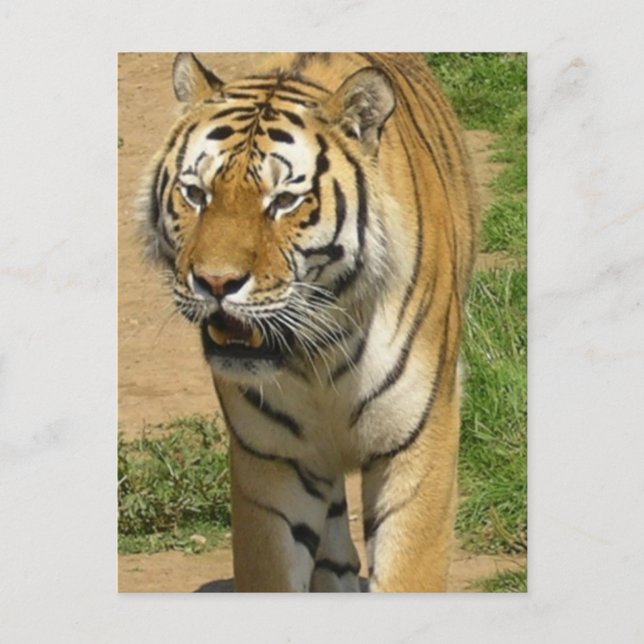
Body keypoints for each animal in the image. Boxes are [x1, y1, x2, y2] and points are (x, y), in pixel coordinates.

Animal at [140, 52, 479, 592]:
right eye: (195, 194)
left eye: (283, 201)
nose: (215, 282)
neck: (320, 347)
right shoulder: (271, 457)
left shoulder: (419, 437)